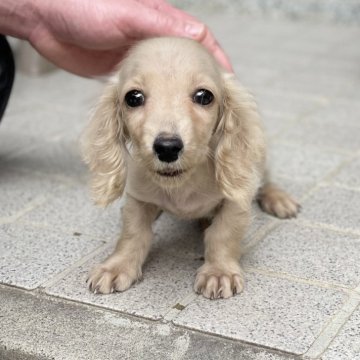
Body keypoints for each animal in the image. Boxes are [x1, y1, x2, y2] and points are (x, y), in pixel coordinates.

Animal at [83, 38, 300, 300]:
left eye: (204, 96)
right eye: (133, 98)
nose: (167, 147)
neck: (182, 185)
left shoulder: (236, 203)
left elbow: (223, 233)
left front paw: (219, 272)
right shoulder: (138, 198)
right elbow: (133, 233)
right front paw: (117, 266)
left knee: (265, 181)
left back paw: (278, 198)